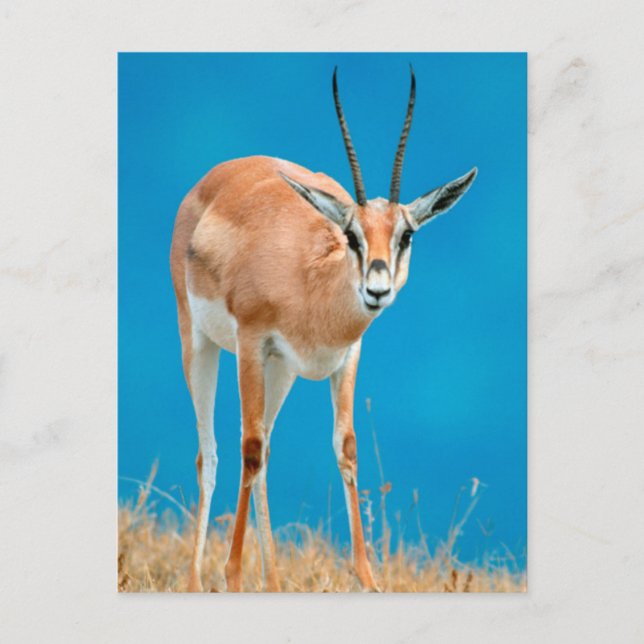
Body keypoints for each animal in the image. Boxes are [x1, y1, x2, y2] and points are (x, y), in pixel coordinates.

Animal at [170, 67, 477, 592]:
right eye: (351, 234)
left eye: (406, 234)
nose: (377, 289)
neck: (310, 284)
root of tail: (216, 176)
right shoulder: (251, 343)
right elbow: (248, 449)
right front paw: (232, 573)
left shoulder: (345, 356)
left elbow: (345, 447)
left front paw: (368, 579)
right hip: (201, 345)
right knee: (211, 454)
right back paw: (200, 580)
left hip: (282, 372)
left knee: (266, 446)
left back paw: (272, 581)